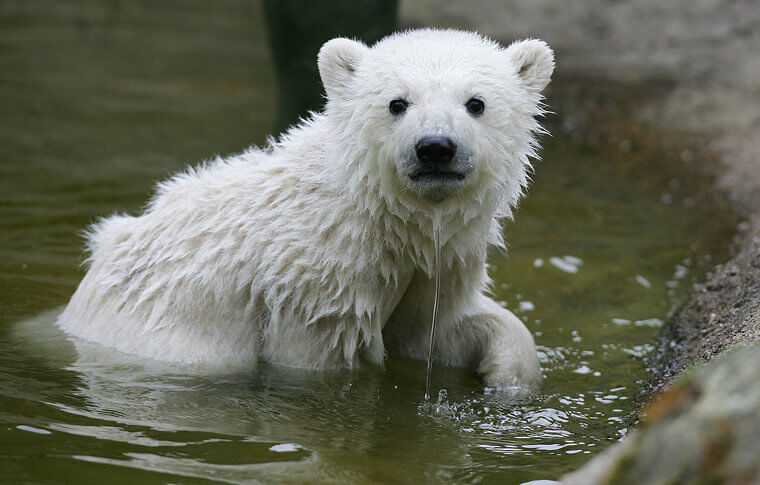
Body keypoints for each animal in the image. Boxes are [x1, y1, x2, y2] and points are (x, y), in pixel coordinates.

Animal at [57, 29, 554, 389]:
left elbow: (431, 332)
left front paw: (508, 374)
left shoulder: (437, 262)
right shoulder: (315, 283)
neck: (379, 214)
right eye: (397, 102)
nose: (435, 148)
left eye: (476, 103)